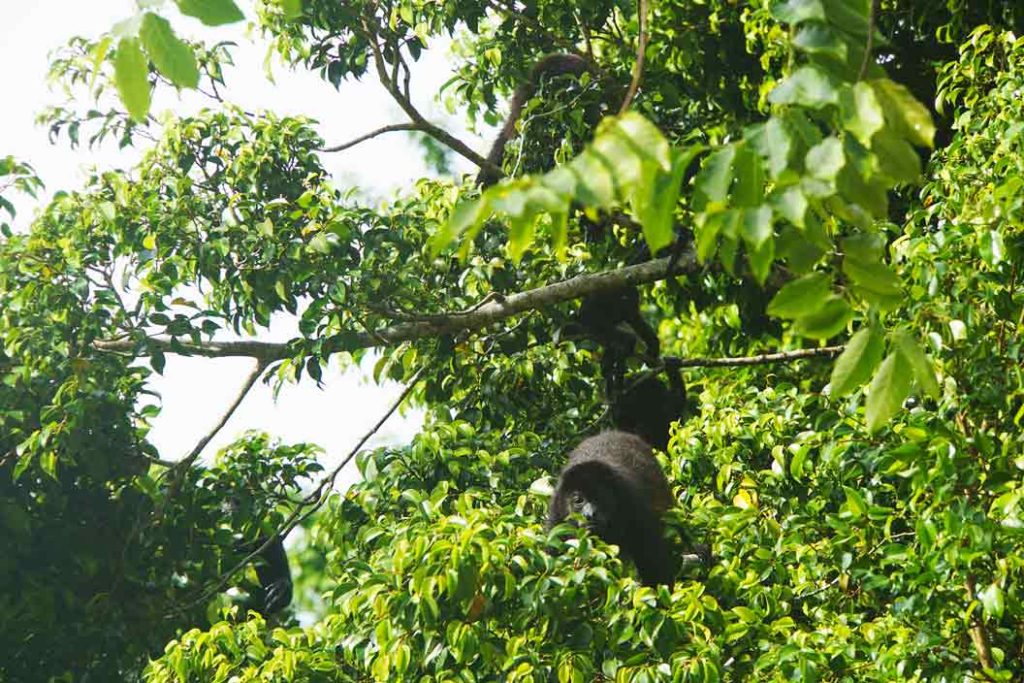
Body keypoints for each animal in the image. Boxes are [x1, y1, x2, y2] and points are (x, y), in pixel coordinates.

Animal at [548, 430, 675, 585]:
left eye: (600, 496)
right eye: (578, 500)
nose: (589, 514)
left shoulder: (635, 504)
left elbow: (655, 563)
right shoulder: (556, 512)